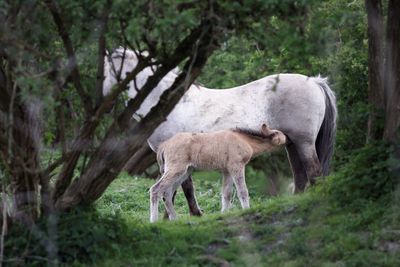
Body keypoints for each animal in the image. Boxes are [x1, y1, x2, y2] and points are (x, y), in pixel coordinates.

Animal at [104, 47, 338, 216]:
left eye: (105, 72)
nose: (105, 103)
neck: (171, 103)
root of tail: (315, 82)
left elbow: (182, 188)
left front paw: (190, 215)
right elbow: (176, 188)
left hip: (304, 143)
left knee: (314, 174)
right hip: (292, 144)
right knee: (300, 178)